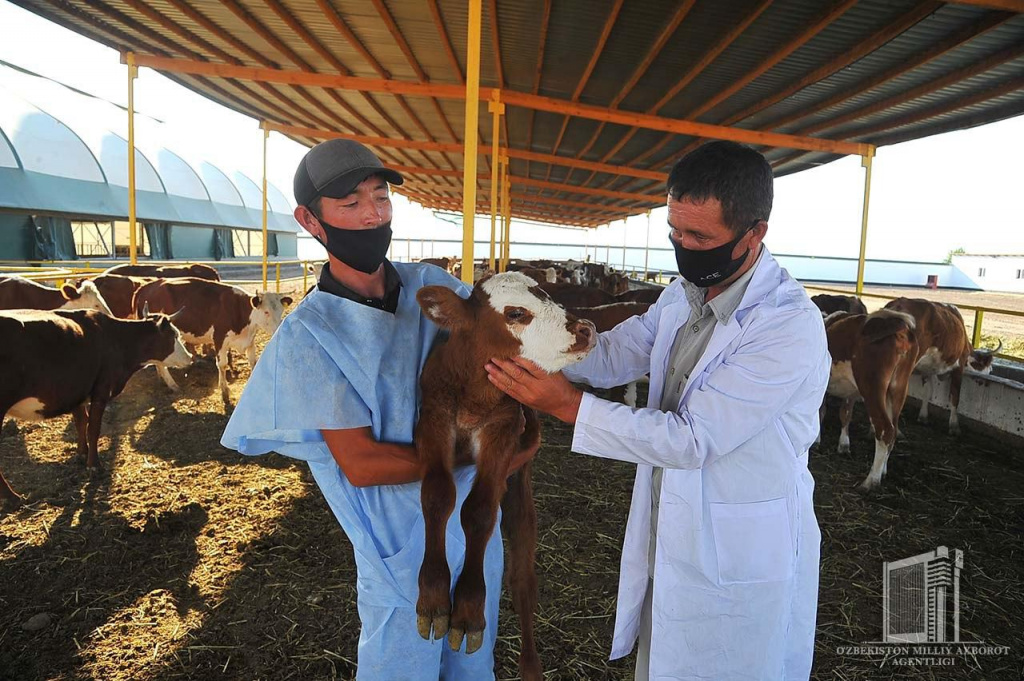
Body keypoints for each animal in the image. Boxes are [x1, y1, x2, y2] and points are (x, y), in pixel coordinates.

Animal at [0, 305, 192, 501]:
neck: (114, 338)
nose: (190, 357)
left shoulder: (78, 392)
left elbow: (81, 423)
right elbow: (93, 428)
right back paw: (12, 496)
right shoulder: (101, 391)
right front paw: (93, 465)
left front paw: (81, 454)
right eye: (174, 335)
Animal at [132, 278, 292, 401]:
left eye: (281, 310)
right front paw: (224, 392)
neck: (240, 310)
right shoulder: (219, 338)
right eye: (266, 312)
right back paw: (173, 385)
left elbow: (253, 362)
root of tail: (146, 286)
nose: (280, 329)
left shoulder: (250, 340)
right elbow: (222, 364)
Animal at [411, 272, 598, 679]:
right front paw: (433, 597)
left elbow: (479, 511)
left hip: (521, 500)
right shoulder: (433, 418)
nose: (587, 329)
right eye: (516, 313)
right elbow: (437, 494)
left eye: (548, 294)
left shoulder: (503, 429)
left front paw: (467, 609)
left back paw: (530, 665)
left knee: (522, 581)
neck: (473, 393)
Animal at [823, 307, 921, 489]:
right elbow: (845, 414)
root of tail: (899, 326)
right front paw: (844, 445)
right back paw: (883, 471)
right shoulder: (850, 392)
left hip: (872, 387)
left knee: (885, 430)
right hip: (897, 390)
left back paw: (871, 481)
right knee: (894, 429)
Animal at [880, 296, 999, 436]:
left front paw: (923, 416)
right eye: (990, 369)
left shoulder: (926, 370)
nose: (983, 382)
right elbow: (955, 397)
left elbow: (927, 392)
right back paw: (895, 431)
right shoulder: (958, 367)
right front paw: (954, 426)